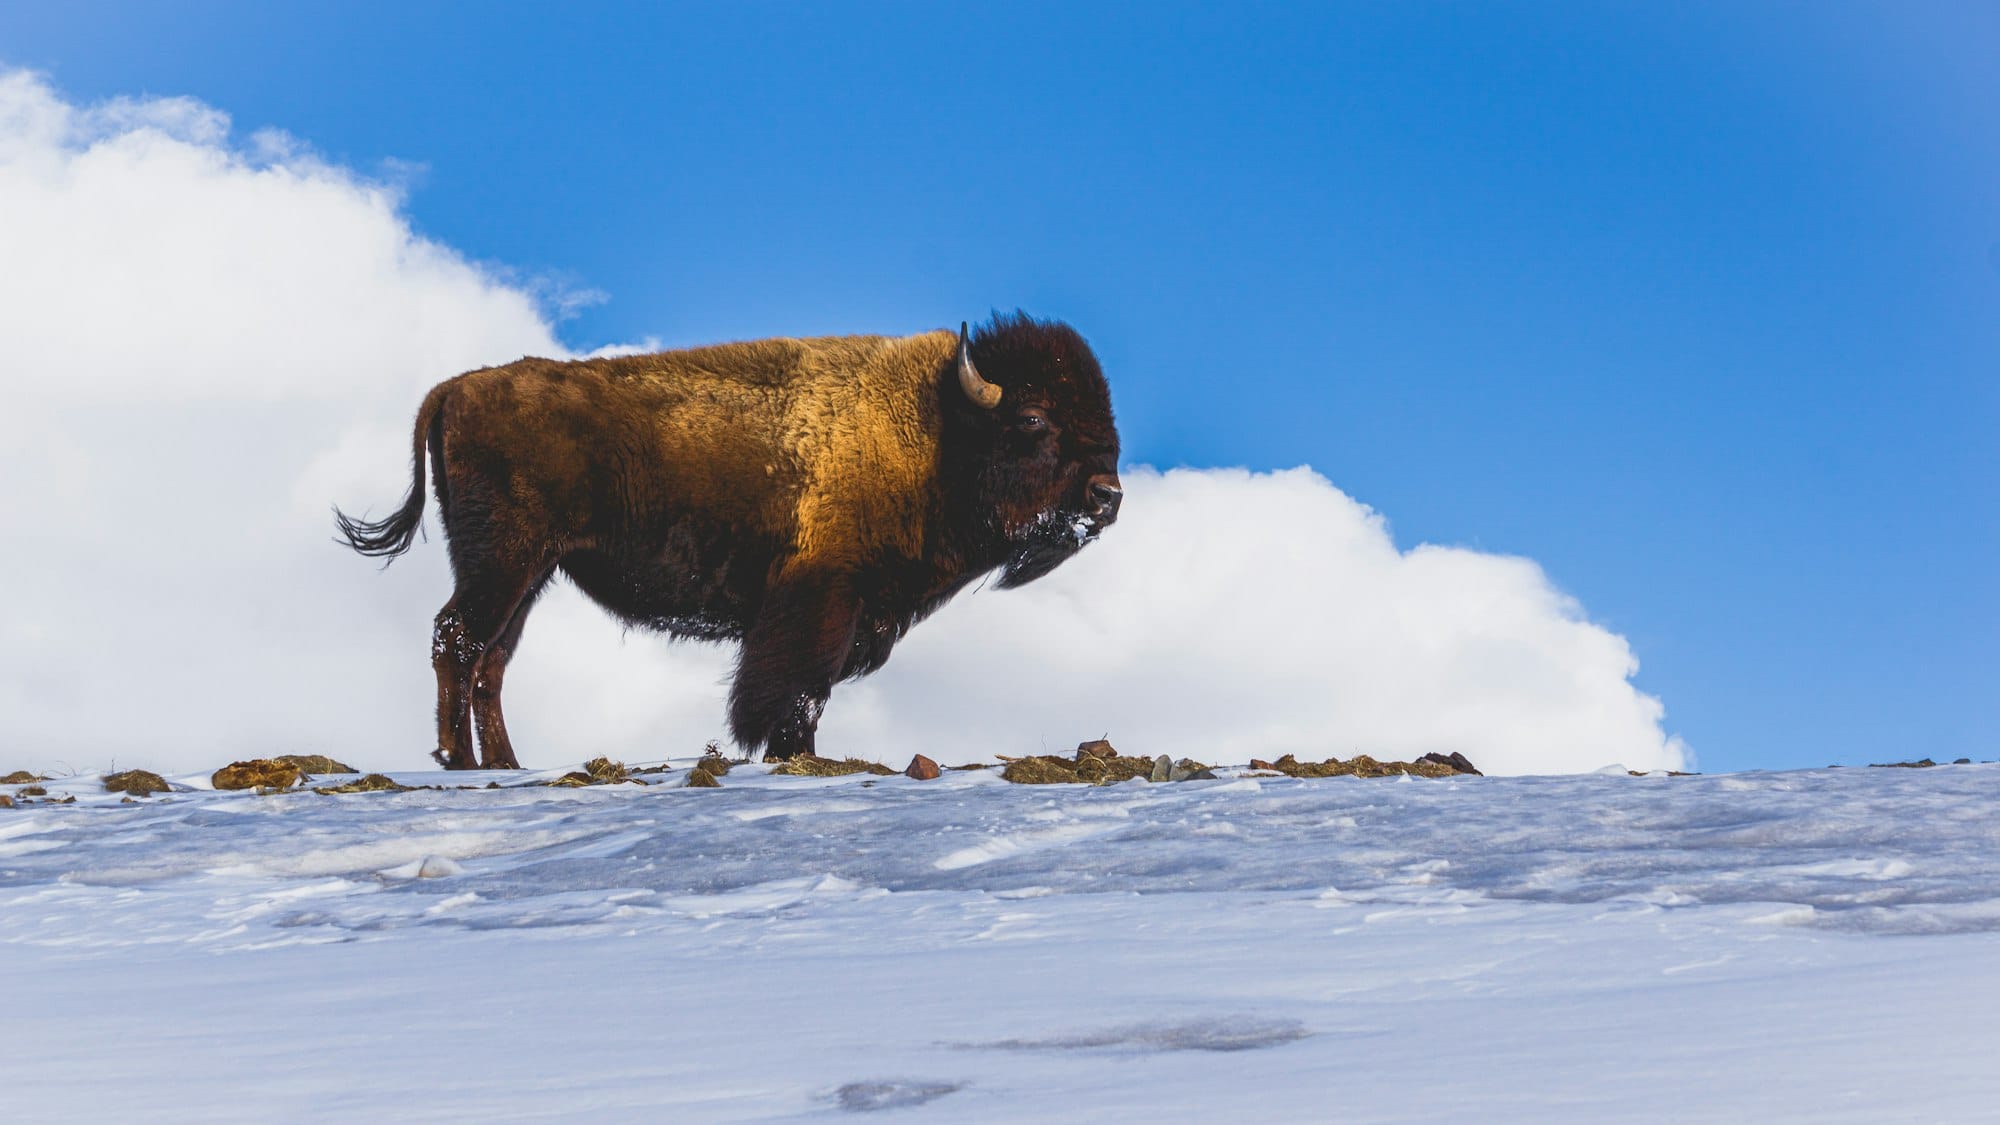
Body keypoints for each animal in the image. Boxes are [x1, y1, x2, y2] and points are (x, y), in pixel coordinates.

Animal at [336, 313, 1121, 769]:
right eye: (1033, 419)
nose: (1108, 497)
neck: (937, 428)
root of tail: (454, 389)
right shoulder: (821, 600)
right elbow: (795, 692)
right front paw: (791, 754)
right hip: (502, 561)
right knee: (458, 638)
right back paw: (457, 761)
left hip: (530, 574)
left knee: (490, 661)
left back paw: (505, 763)